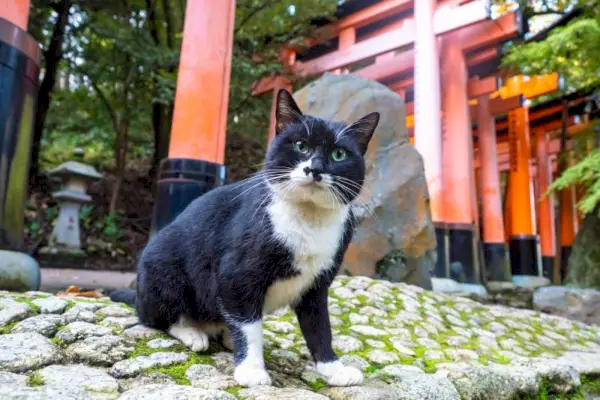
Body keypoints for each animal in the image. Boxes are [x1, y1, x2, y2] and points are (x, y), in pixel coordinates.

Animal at [110, 88, 378, 388]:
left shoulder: (316, 286)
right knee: (155, 317)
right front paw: (251, 368)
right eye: (301, 146)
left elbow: (320, 327)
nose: (315, 168)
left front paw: (333, 368)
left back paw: (227, 335)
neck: (309, 221)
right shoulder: (237, 274)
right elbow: (248, 326)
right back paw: (192, 332)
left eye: (339, 154)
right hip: (163, 269)